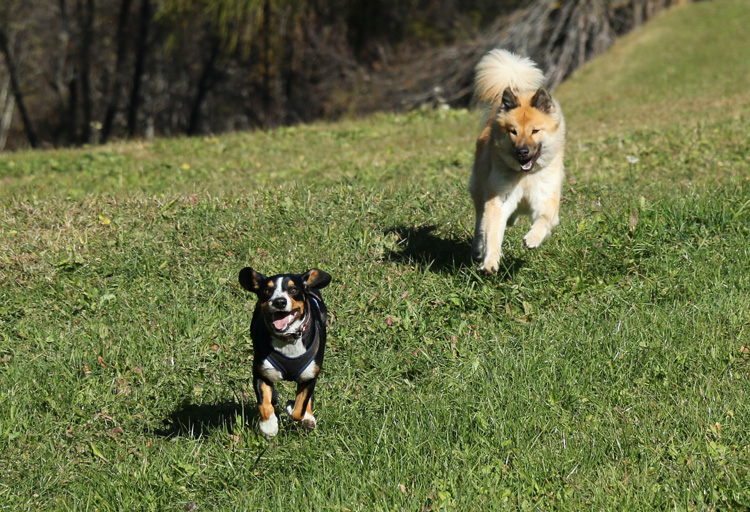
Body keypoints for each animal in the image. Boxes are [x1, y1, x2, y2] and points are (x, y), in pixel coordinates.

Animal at [239, 266, 334, 438]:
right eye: (267, 290)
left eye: (293, 289)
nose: (279, 301)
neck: (287, 338)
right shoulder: (260, 372)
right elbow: (264, 403)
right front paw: (268, 425)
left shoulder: (310, 376)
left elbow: (300, 408)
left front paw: (294, 408)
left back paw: (308, 417)